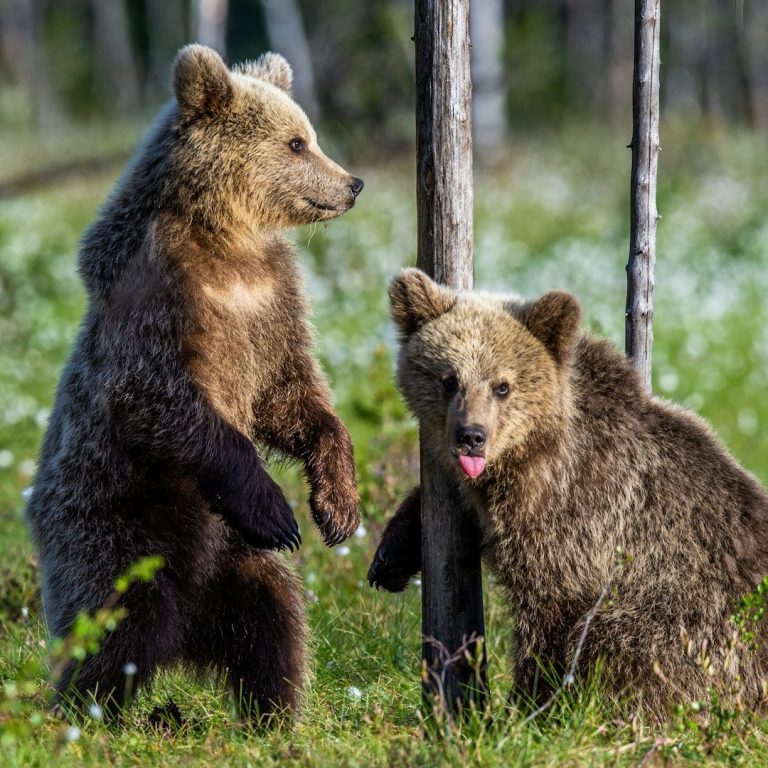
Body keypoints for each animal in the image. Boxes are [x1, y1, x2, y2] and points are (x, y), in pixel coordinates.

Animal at [25, 45, 363, 721]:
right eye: (297, 142)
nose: (352, 183)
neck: (227, 245)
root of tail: (189, 630)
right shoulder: (165, 300)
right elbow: (168, 402)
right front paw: (278, 510)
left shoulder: (272, 304)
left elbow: (292, 394)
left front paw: (337, 505)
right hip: (115, 530)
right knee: (117, 624)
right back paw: (99, 714)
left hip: (231, 557)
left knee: (274, 619)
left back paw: (272, 716)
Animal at [368, 267, 768, 715]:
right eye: (448, 379)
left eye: (502, 386)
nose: (471, 436)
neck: (531, 458)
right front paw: (391, 555)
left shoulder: (579, 515)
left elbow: (548, 615)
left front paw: (526, 705)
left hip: (695, 627)